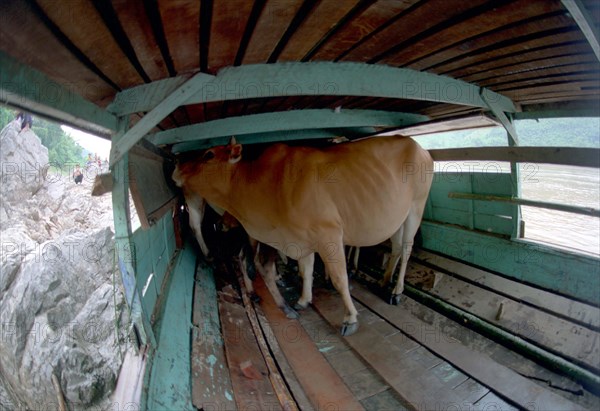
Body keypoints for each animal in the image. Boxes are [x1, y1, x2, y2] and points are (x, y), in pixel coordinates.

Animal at [173, 135, 432, 334]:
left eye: (208, 154)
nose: (175, 167)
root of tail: (417, 145)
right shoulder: (300, 237)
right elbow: (306, 270)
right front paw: (303, 300)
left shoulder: (327, 233)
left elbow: (339, 278)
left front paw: (350, 318)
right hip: (397, 217)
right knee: (396, 248)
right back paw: (384, 281)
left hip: (415, 208)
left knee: (406, 248)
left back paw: (396, 292)